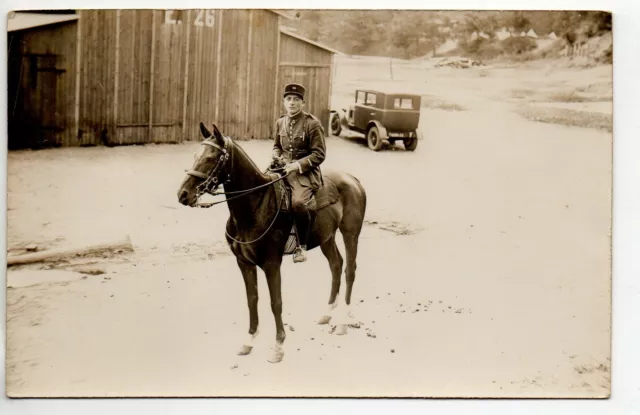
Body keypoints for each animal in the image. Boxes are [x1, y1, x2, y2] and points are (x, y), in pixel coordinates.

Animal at [178, 123, 368, 364]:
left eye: (211, 158)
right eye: (196, 154)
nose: (183, 194)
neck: (255, 205)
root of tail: (352, 178)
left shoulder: (271, 264)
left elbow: (275, 302)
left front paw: (278, 346)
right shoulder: (244, 263)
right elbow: (252, 299)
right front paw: (249, 341)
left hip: (350, 233)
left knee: (350, 270)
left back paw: (343, 321)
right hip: (327, 237)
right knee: (336, 265)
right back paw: (327, 313)